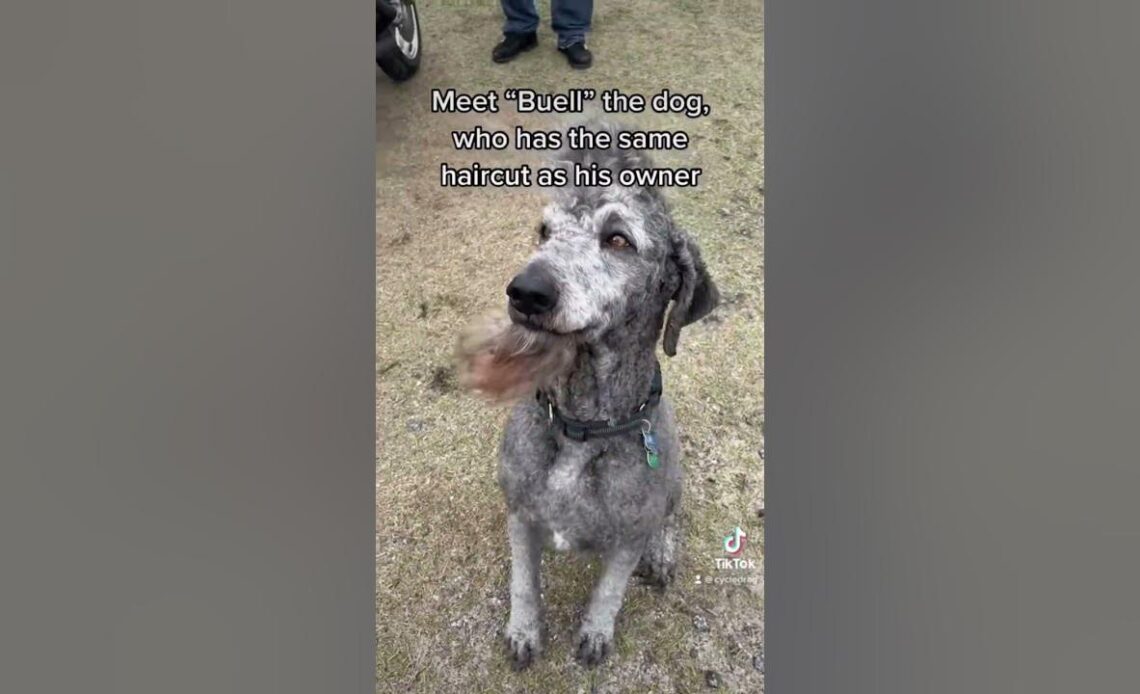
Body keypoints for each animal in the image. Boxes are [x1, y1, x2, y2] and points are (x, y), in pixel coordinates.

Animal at [458, 121, 715, 670]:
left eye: (617, 239)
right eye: (544, 232)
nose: (525, 291)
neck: (583, 422)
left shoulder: (628, 536)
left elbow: (610, 591)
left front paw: (596, 633)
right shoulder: (521, 514)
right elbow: (523, 583)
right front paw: (524, 632)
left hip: (672, 483)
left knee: (671, 515)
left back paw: (662, 554)